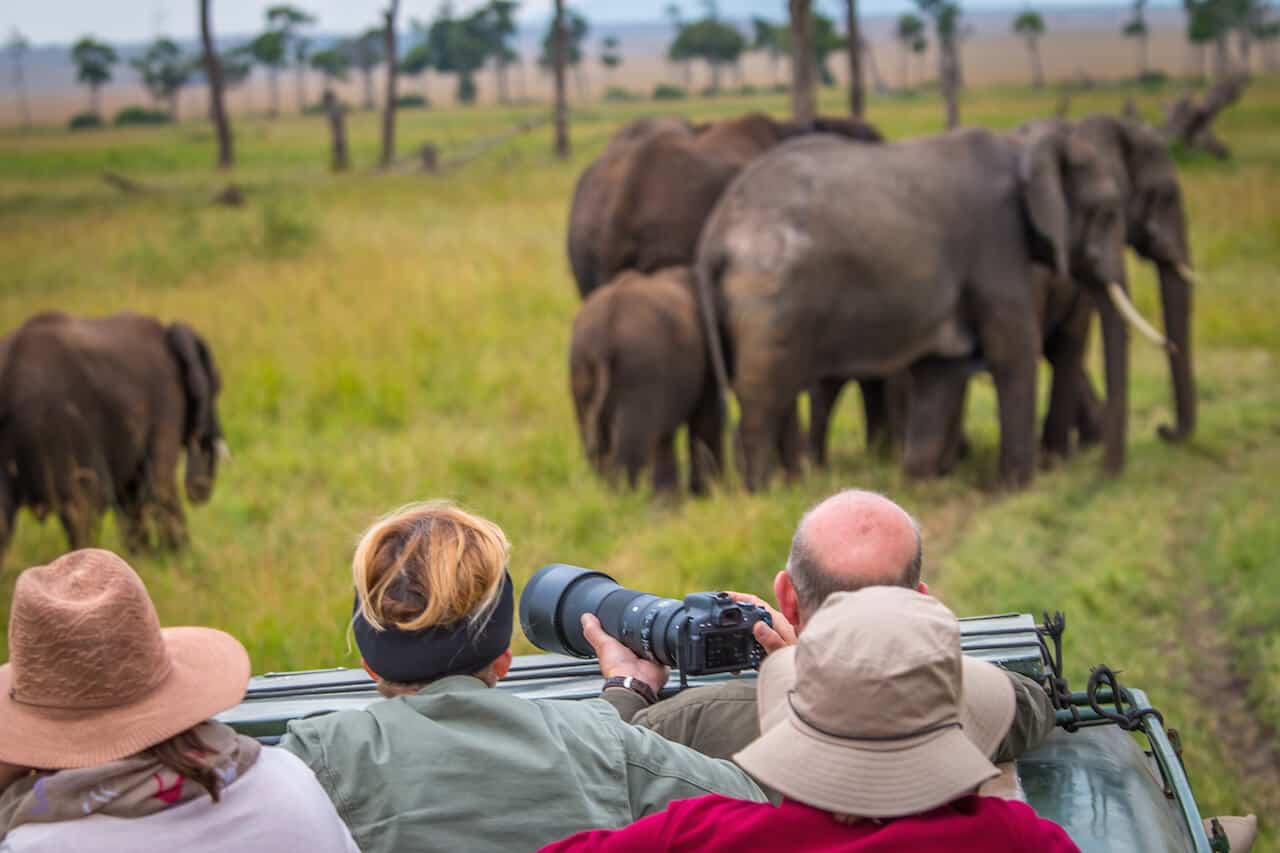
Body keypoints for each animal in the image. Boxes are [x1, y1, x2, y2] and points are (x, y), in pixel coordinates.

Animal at [0, 312, 226, 561]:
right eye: (217, 386)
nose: (200, 492)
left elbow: (133, 494)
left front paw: (147, 560)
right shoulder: (167, 394)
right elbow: (160, 483)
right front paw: (180, 561)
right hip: (58, 428)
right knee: (84, 508)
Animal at [569, 267, 721, 495]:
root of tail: (603, 335)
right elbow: (707, 421)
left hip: (580, 367)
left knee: (594, 440)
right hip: (639, 371)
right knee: (631, 445)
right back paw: (626, 500)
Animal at [695, 124, 1132, 491]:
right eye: (1108, 211)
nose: (1104, 479)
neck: (1023, 145)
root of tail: (716, 233)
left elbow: (940, 372)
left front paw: (918, 483)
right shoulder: (996, 241)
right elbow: (1013, 351)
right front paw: (1015, 489)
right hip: (771, 301)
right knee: (764, 400)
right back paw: (762, 494)